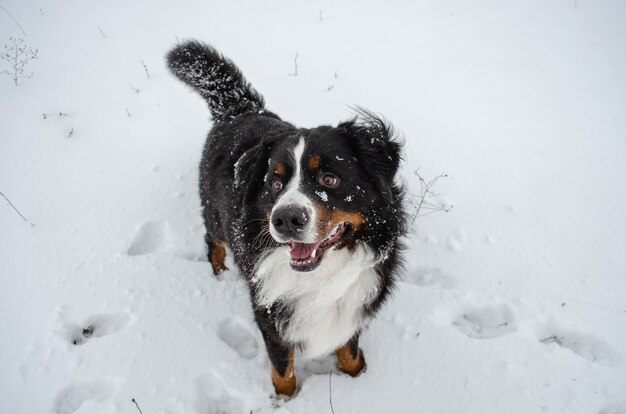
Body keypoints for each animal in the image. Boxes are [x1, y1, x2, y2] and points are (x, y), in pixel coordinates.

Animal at [166, 41, 404, 398]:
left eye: (330, 179)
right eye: (275, 184)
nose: (286, 219)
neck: (321, 278)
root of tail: (241, 109)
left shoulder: (354, 304)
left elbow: (348, 348)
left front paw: (357, 375)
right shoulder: (269, 313)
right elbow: (282, 369)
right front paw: (285, 399)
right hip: (215, 216)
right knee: (213, 241)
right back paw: (219, 273)